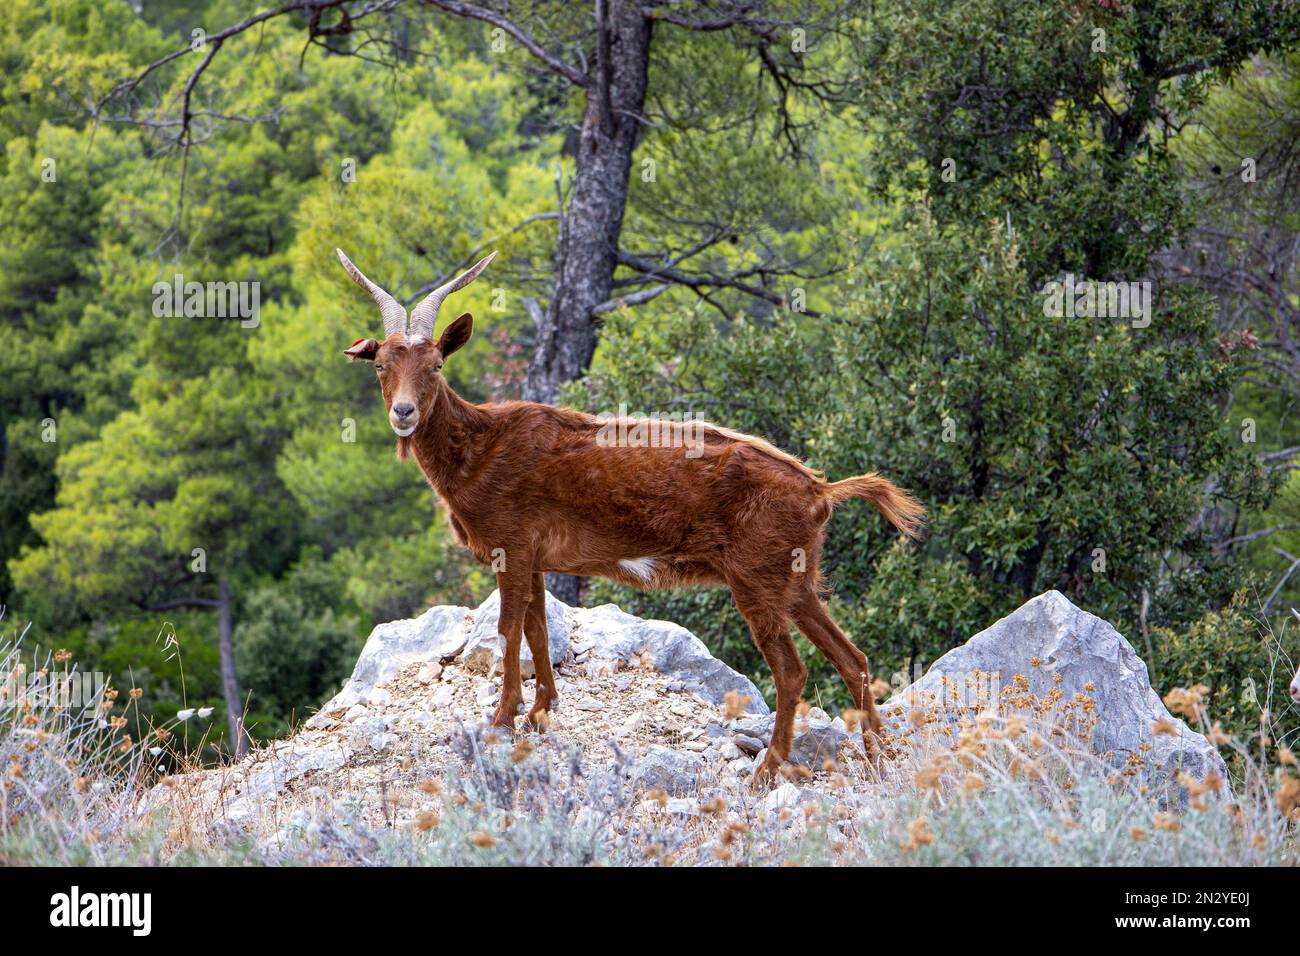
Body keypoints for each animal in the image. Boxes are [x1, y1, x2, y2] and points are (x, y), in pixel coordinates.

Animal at [335, 251, 925, 780]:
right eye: (382, 365)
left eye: (436, 365)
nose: (404, 412)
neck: (480, 447)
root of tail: (821, 489)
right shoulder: (537, 557)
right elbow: (538, 628)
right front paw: (540, 712)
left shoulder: (511, 546)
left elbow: (508, 629)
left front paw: (501, 720)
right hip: (796, 581)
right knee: (853, 657)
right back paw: (881, 757)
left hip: (756, 578)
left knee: (792, 671)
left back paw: (767, 771)